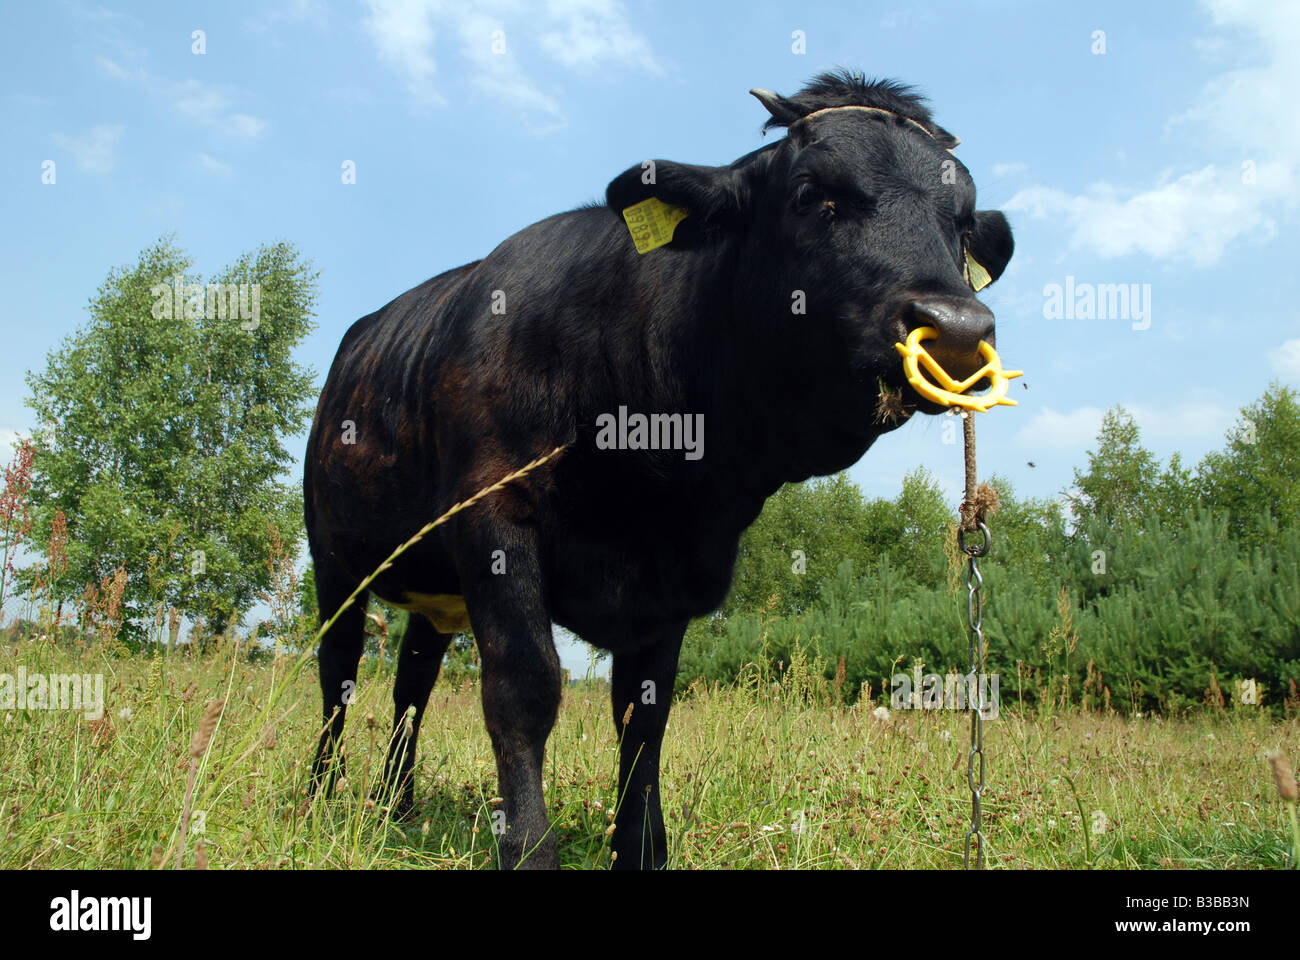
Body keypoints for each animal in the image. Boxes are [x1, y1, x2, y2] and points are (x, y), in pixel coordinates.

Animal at [306, 70, 1013, 863]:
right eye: (812, 195)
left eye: (961, 224)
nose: (957, 328)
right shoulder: (495, 521)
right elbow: (524, 687)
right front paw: (529, 847)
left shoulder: (678, 572)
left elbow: (644, 714)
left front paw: (643, 848)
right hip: (335, 558)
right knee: (339, 671)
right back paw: (322, 794)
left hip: (434, 588)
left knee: (412, 684)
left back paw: (396, 805)